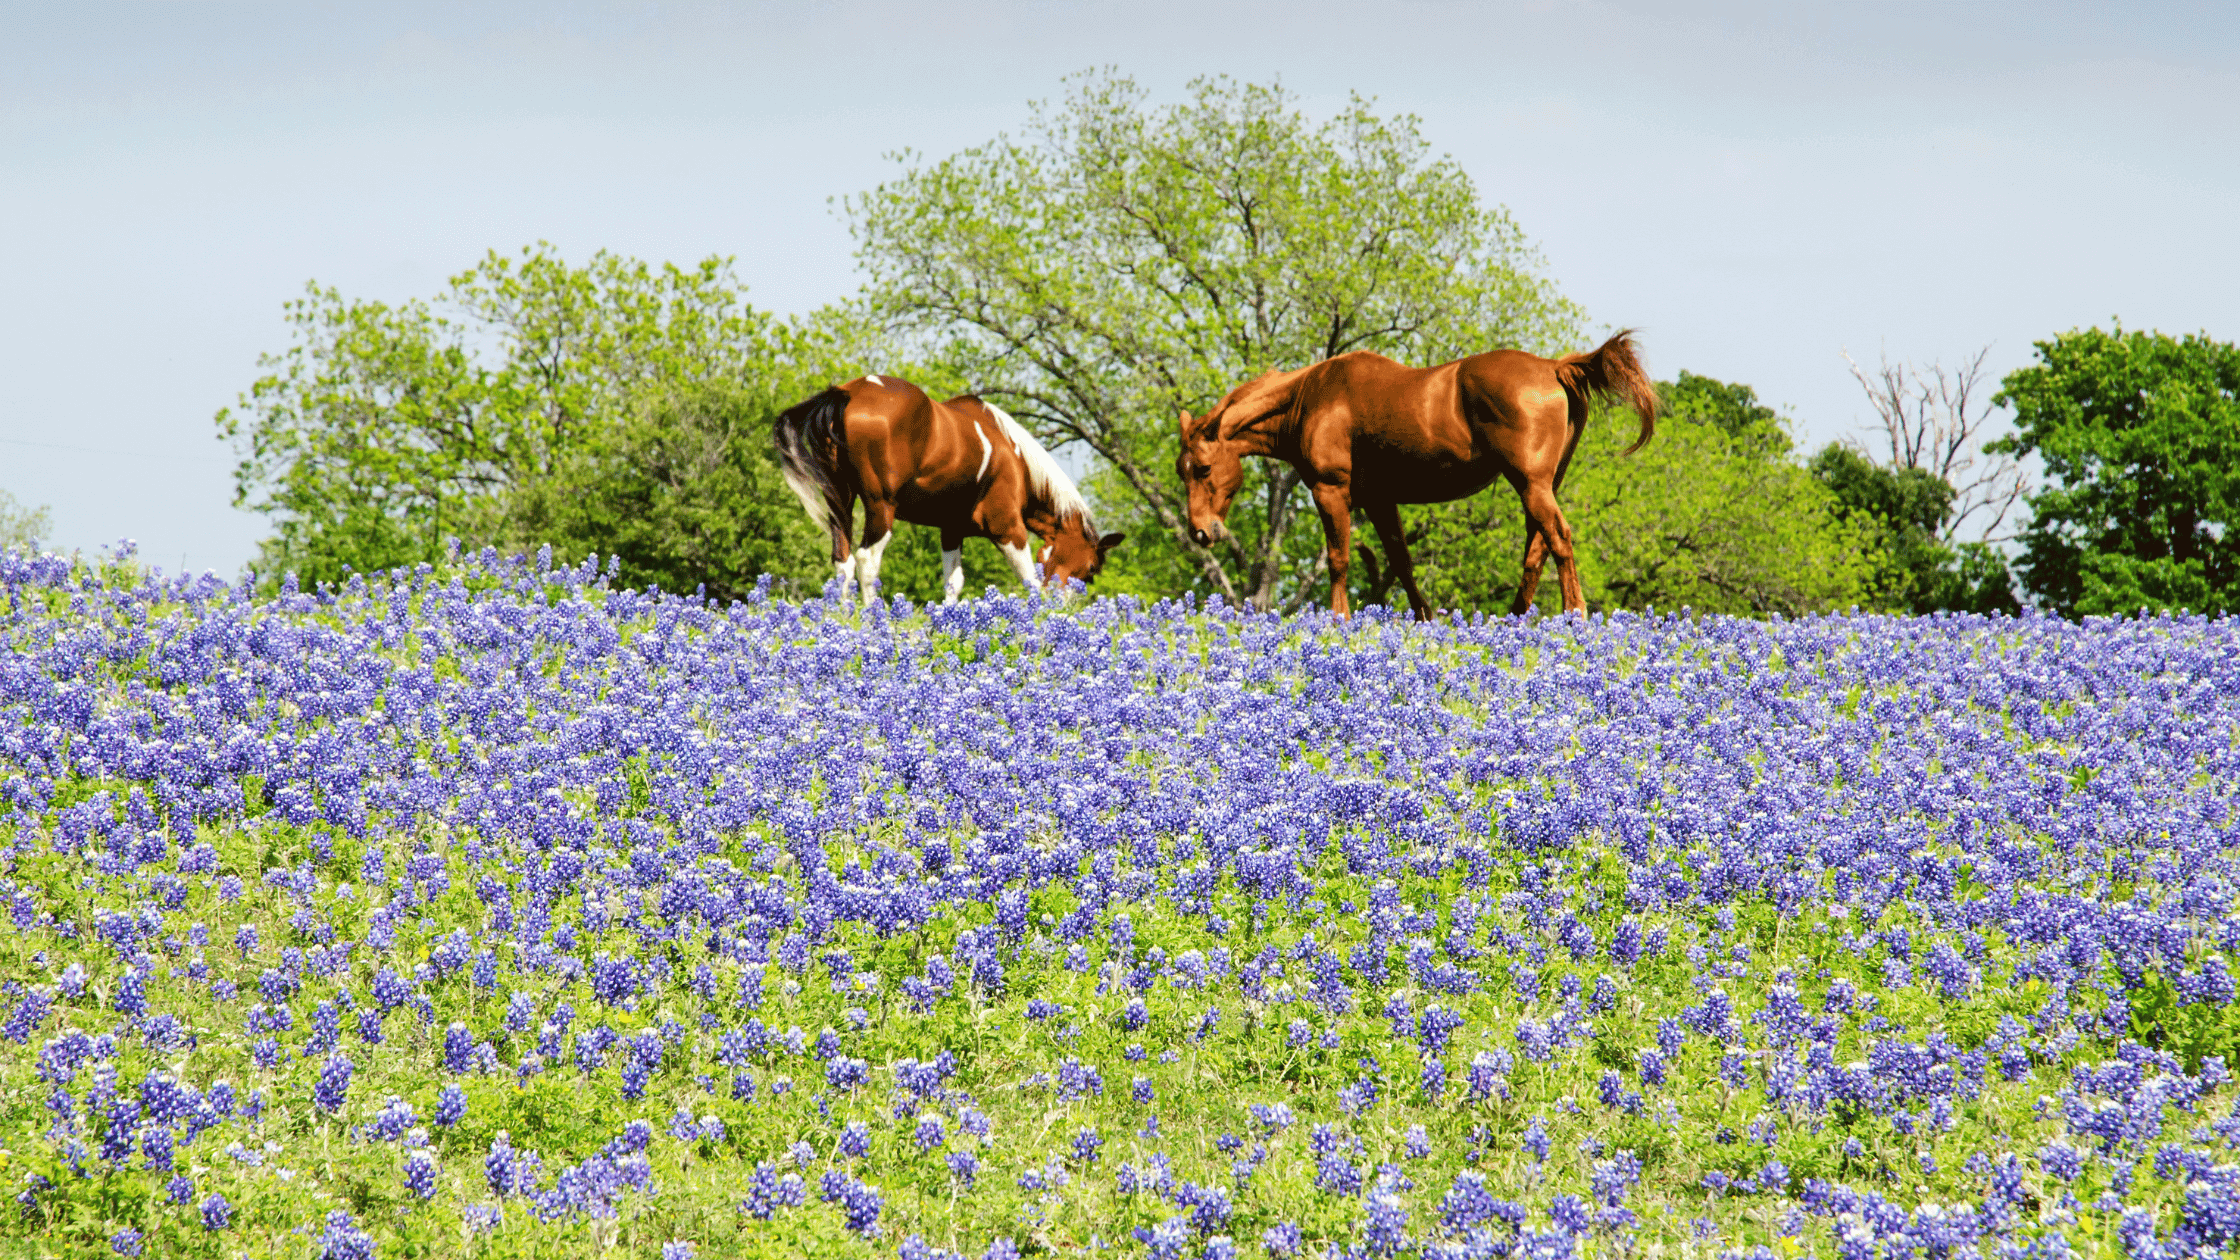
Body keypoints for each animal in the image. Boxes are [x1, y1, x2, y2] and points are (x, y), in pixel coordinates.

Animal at [775, 372, 1120, 605]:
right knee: (867, 561)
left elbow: (953, 582)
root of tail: (847, 393)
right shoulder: (1007, 526)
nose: (1065, 605)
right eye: (1091, 568)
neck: (1014, 458)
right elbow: (1028, 580)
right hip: (880, 507)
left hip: (839, 500)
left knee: (843, 561)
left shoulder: (951, 530)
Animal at [1182, 329, 1657, 614]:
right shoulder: (1378, 499)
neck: (1313, 396)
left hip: (1531, 484)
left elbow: (1338, 559)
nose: (1200, 532)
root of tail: (1553, 367)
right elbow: (1401, 562)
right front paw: (1423, 617)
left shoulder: (1330, 491)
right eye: (1180, 470)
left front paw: (1339, 619)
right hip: (1542, 485)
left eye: (1203, 468)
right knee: (1537, 548)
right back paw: (1515, 619)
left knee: (1557, 539)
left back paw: (1574, 614)